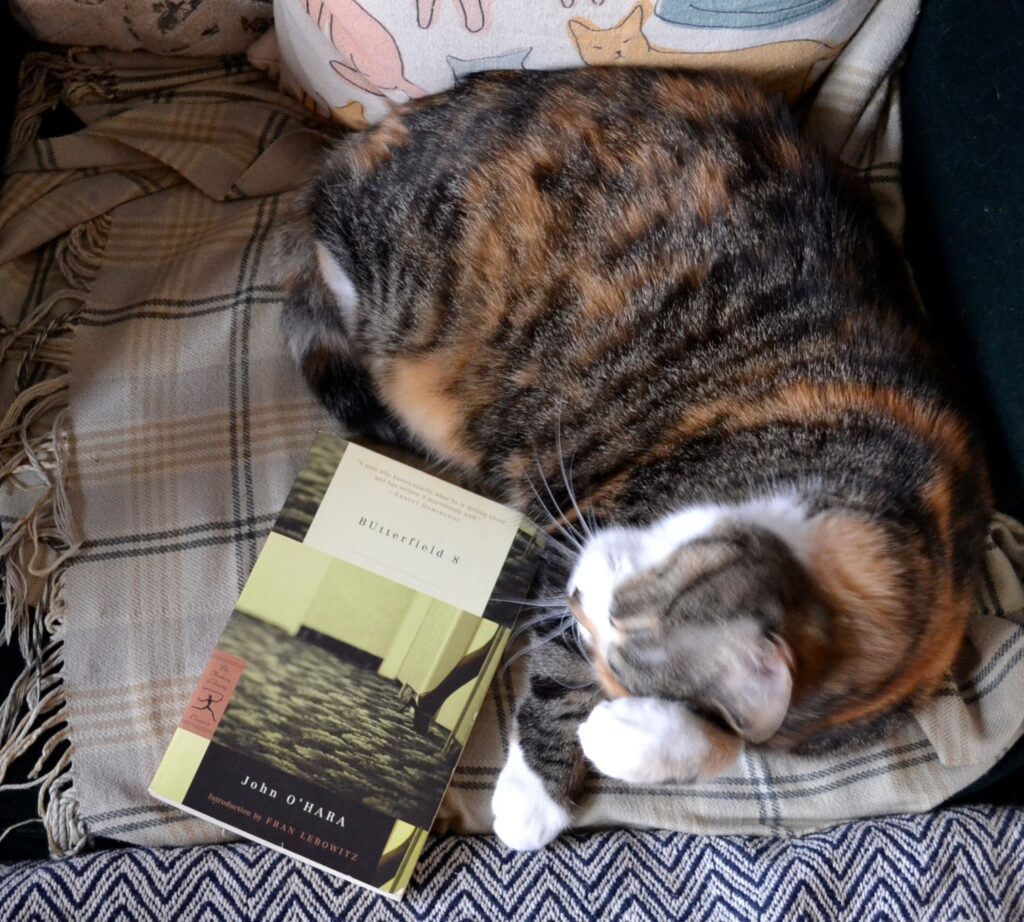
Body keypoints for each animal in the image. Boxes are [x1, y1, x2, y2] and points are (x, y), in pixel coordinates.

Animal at [276, 66, 987, 848]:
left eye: (627, 615)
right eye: (650, 576)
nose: (580, 587)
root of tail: (374, 138)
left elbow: (726, 739)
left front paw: (627, 736)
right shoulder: (587, 511)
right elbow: (560, 672)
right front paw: (536, 794)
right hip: (395, 279)